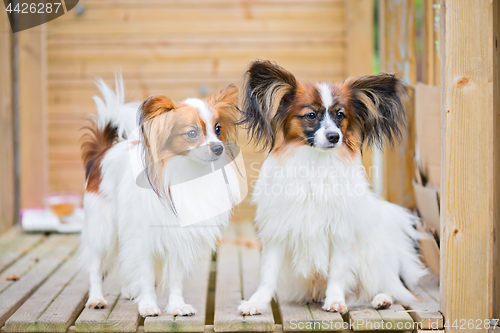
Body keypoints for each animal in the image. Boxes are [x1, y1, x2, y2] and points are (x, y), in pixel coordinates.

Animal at [79, 77, 241, 316]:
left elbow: (174, 277)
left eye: (218, 129)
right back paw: (96, 298)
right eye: (192, 133)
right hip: (103, 229)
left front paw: (177, 306)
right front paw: (148, 305)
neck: (187, 171)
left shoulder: (178, 238)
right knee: (95, 265)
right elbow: (146, 274)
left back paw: (129, 291)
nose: (219, 148)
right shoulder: (142, 237)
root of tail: (103, 152)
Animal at [238, 61, 426, 314]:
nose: (334, 136)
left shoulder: (340, 232)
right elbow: (268, 274)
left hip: (373, 259)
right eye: (310, 115)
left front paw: (335, 300)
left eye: (340, 115)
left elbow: (337, 271)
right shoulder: (278, 230)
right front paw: (257, 302)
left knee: (393, 287)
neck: (315, 163)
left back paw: (382, 298)